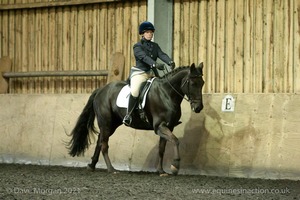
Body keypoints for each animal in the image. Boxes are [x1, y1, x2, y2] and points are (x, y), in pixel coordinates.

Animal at [67, 62, 205, 175]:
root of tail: (101, 90)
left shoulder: (168, 127)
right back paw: (111, 169)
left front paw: (161, 171)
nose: (198, 108)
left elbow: (162, 149)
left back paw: (92, 165)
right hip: (106, 123)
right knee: (104, 145)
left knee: (100, 142)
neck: (166, 93)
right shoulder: (160, 127)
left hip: (112, 124)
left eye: (202, 83)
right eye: (193, 83)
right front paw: (175, 166)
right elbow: (175, 141)